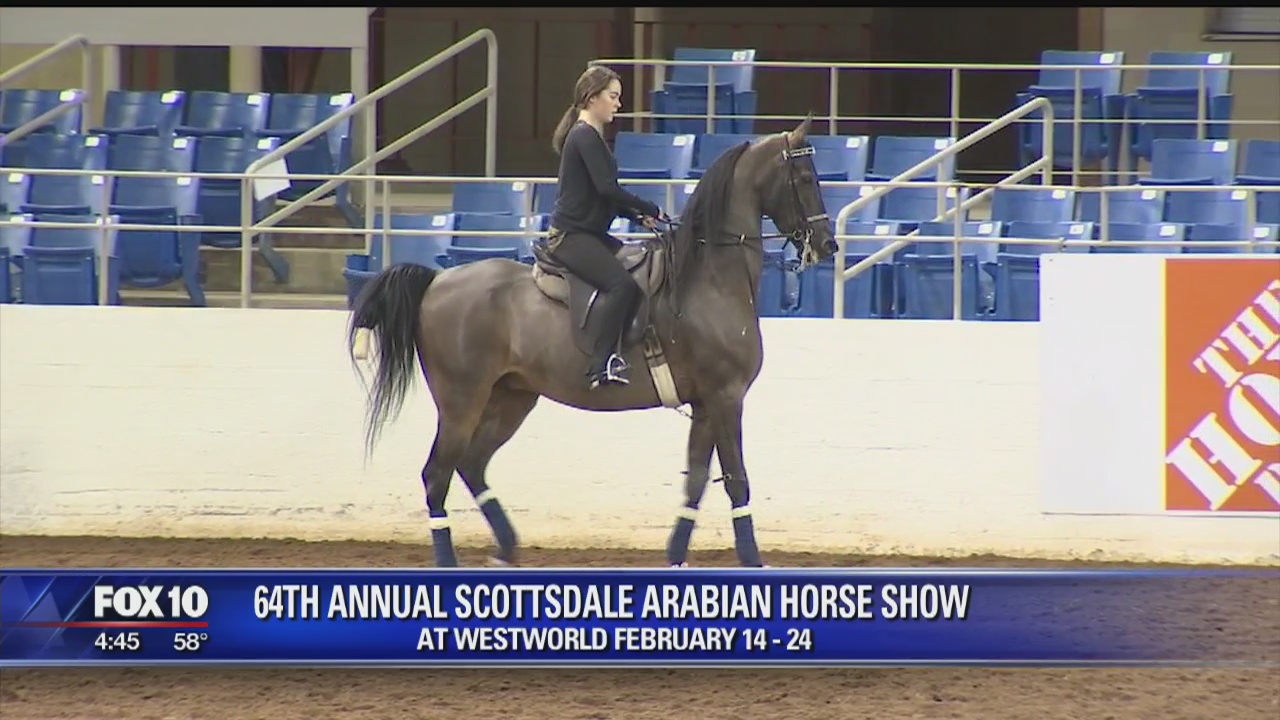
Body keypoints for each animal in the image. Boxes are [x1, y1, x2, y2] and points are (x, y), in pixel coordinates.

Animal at [346, 115, 836, 569]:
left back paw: (506, 548)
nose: (828, 245)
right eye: (805, 178)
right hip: (461, 401)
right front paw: (752, 559)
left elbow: (696, 480)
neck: (709, 280)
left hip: (511, 398)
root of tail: (437, 281)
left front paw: (676, 556)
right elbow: (736, 479)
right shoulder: (725, 396)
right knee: (438, 476)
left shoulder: (704, 403)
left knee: (471, 464)